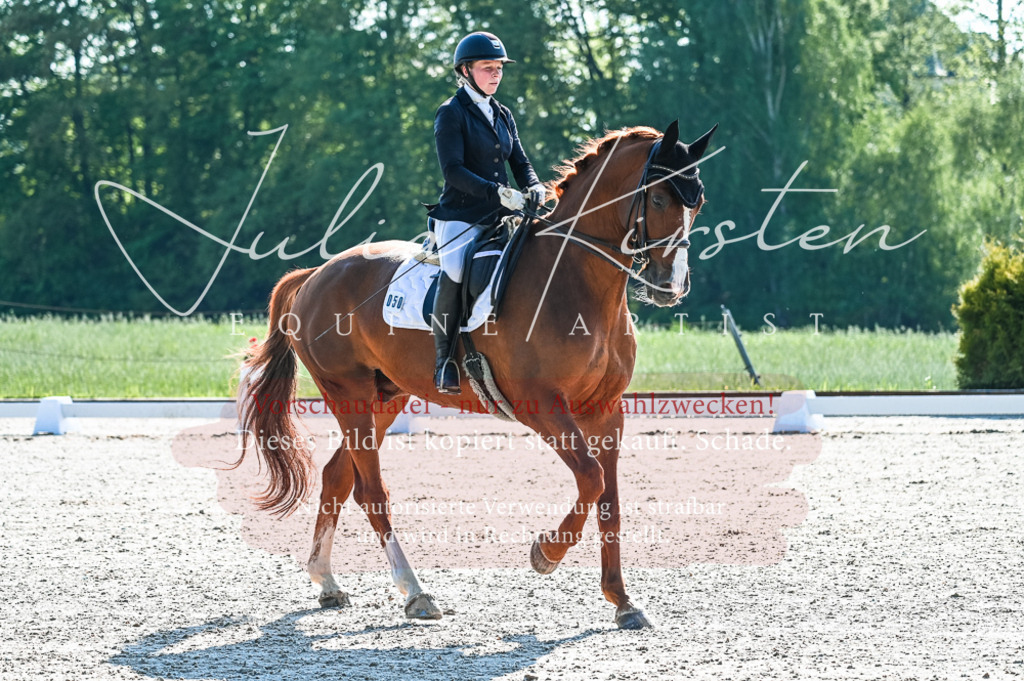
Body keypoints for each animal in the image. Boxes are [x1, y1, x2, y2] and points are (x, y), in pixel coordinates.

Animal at [238, 120, 717, 629]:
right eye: (660, 199)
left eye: (698, 203)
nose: (671, 287)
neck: (575, 280)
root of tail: (315, 274)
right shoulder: (541, 405)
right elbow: (590, 479)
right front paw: (545, 554)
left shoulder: (605, 411)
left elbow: (610, 500)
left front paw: (622, 601)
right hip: (348, 393)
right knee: (370, 490)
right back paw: (416, 593)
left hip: (385, 398)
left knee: (336, 478)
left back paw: (327, 582)